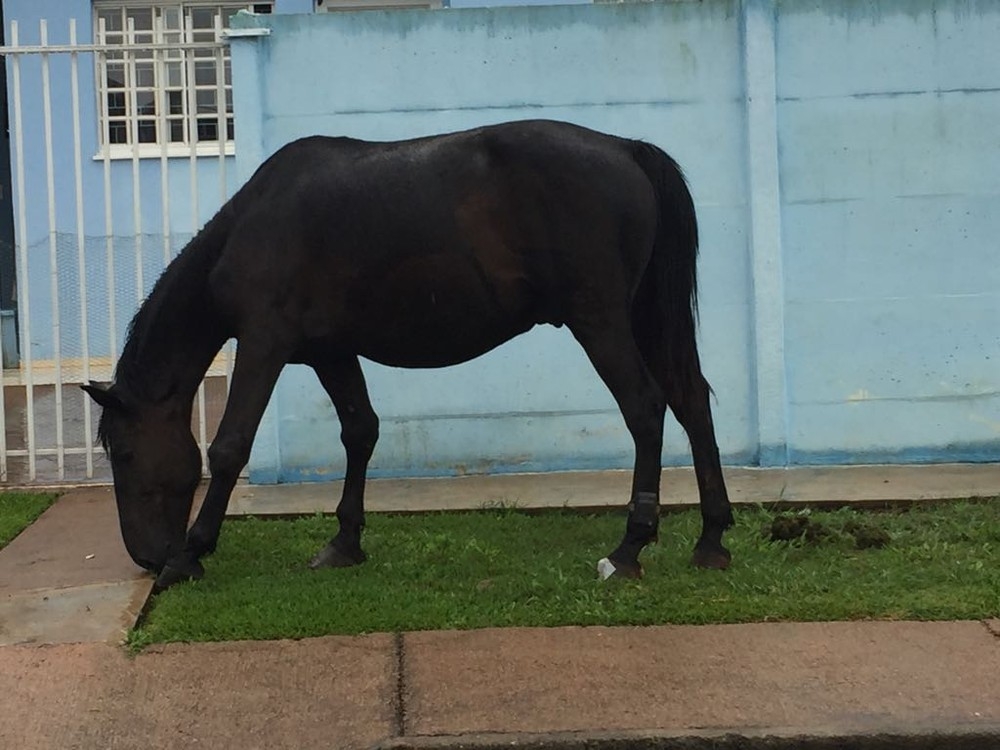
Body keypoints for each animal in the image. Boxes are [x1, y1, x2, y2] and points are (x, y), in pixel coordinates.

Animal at [82, 120, 736, 592]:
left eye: (128, 453)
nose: (147, 556)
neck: (253, 225)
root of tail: (627, 150)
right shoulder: (331, 352)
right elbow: (360, 432)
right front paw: (344, 544)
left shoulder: (264, 344)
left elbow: (228, 447)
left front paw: (191, 555)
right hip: (644, 317)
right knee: (690, 400)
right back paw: (711, 539)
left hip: (600, 322)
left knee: (646, 408)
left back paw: (628, 548)